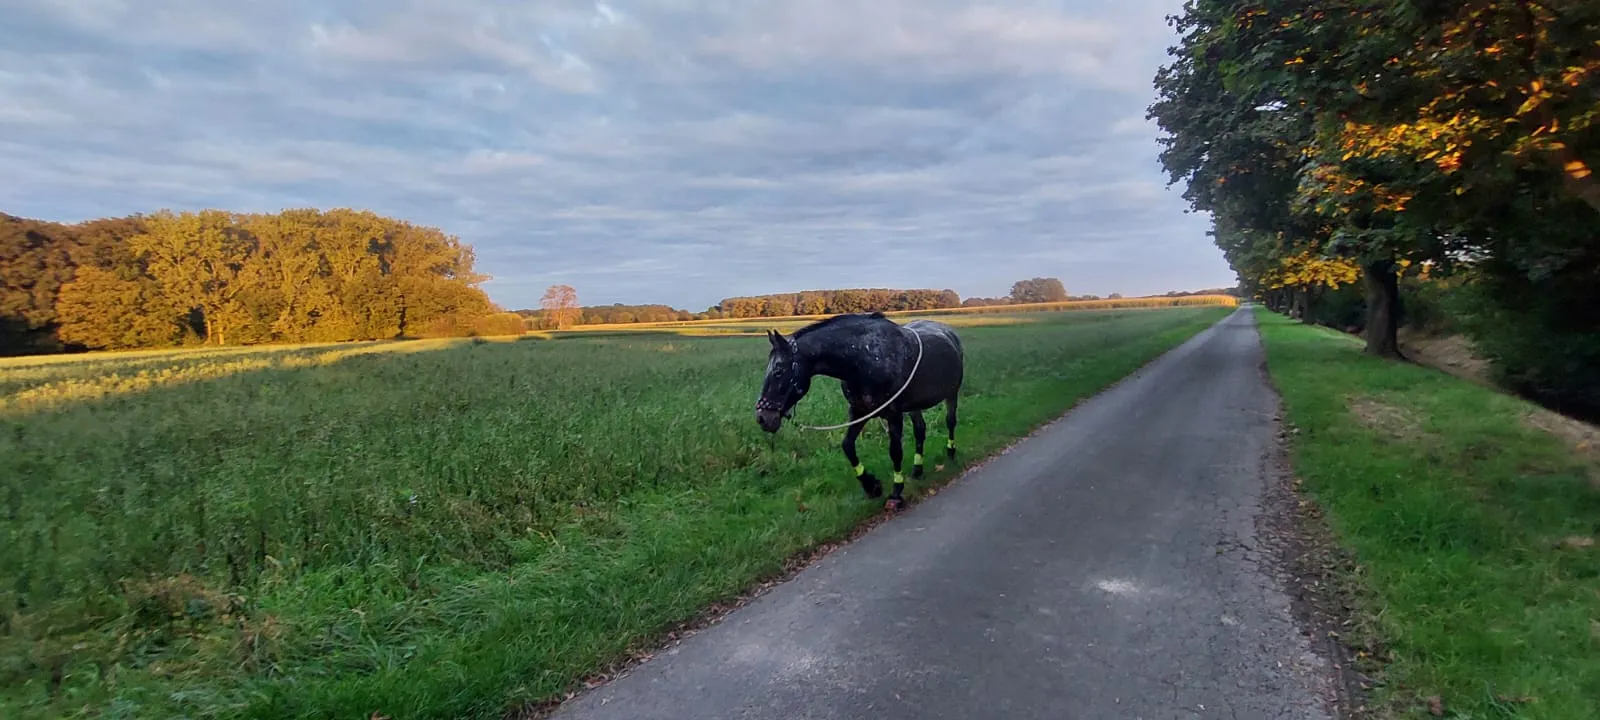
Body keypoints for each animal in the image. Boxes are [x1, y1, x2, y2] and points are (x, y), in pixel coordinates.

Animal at [753, 311, 964, 510]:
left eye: (778, 370)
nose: (762, 418)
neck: (866, 358)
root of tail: (948, 332)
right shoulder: (859, 412)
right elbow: (847, 446)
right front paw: (871, 486)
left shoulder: (894, 414)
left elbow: (895, 451)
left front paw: (896, 493)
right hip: (914, 407)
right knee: (920, 430)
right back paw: (917, 470)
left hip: (952, 394)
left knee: (950, 421)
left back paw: (950, 452)